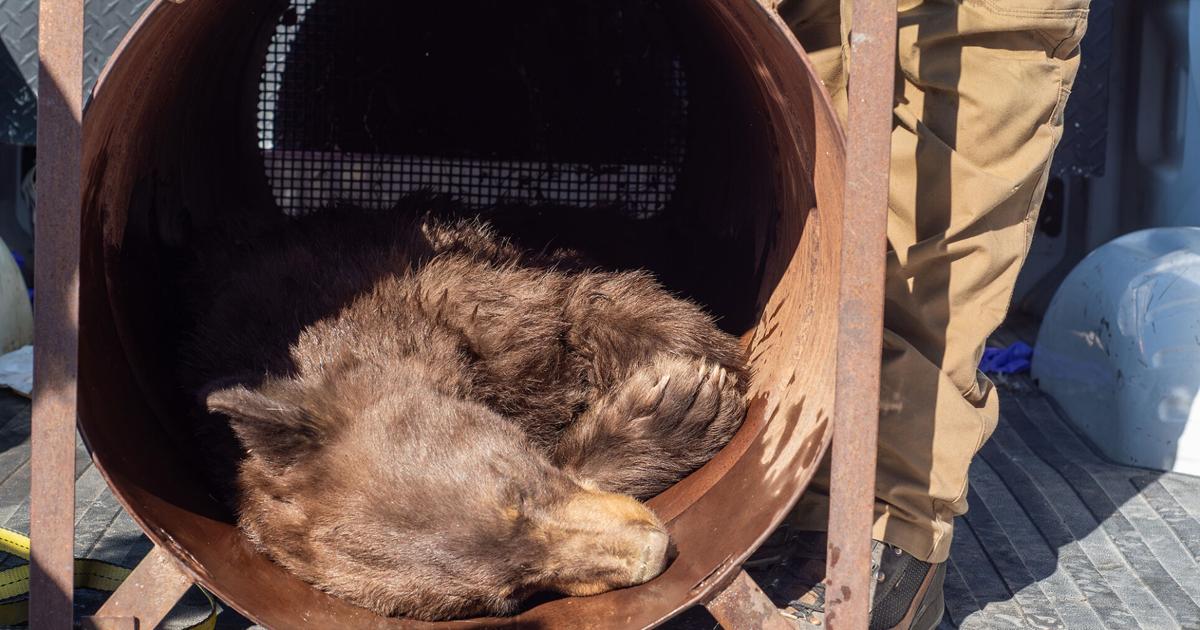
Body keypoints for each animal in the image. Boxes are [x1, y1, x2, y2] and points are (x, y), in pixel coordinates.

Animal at [178, 201, 749, 620]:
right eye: (512, 596)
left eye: (518, 488)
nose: (655, 549)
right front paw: (678, 409)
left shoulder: (466, 295)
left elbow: (586, 304)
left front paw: (702, 372)